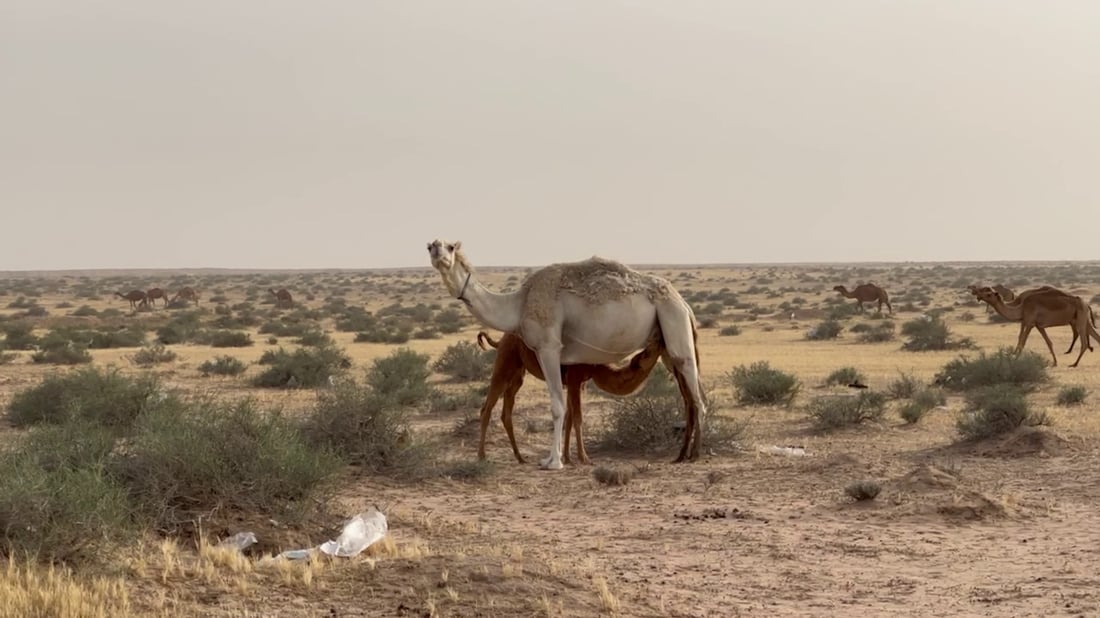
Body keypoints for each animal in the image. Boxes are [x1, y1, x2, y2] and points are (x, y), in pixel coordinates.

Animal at [477, 327, 664, 461]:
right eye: (647, 352)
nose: (660, 340)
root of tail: (500, 340)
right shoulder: (574, 378)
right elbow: (578, 417)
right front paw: (584, 458)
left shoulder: (578, 383)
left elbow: (569, 417)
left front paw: (567, 457)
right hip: (505, 364)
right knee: (487, 407)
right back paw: (482, 456)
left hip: (518, 374)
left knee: (506, 411)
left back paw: (520, 457)